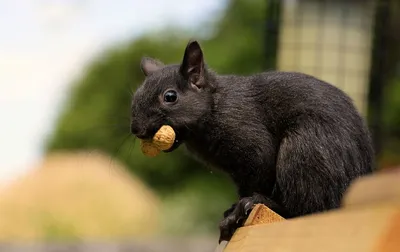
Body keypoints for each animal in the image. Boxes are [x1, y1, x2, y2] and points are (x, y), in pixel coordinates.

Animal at [130, 39, 376, 242]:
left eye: (170, 96)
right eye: (135, 96)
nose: (136, 129)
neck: (215, 106)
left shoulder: (251, 141)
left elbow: (259, 175)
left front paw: (239, 211)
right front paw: (232, 211)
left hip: (305, 151)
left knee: (305, 209)